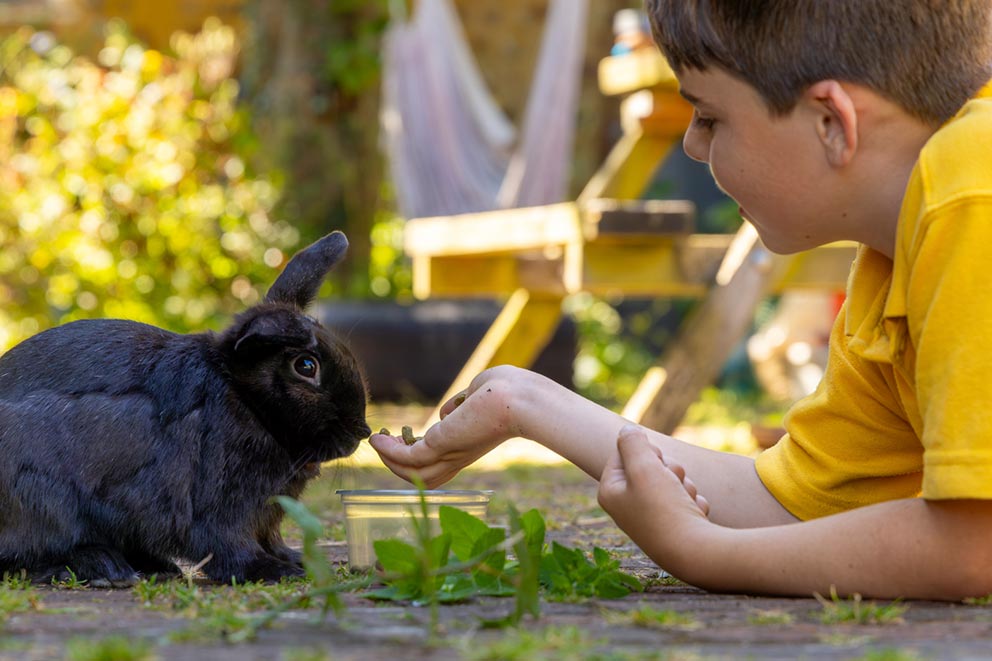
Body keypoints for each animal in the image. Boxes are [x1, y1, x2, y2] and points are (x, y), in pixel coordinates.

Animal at [0, 230, 371, 586]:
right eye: (306, 366)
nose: (361, 432)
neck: (244, 401)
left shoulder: (266, 513)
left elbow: (270, 538)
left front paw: (296, 560)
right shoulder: (216, 506)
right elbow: (232, 545)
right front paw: (275, 571)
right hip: (41, 500)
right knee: (30, 556)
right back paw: (106, 569)